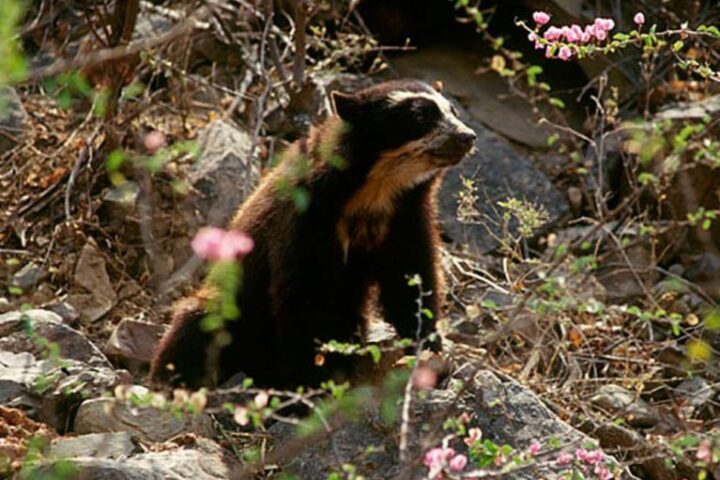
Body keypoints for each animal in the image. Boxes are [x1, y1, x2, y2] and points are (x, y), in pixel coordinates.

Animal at [150, 80, 478, 388]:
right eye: (420, 114)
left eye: (453, 111)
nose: (468, 136)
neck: (374, 191)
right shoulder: (307, 218)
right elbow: (305, 294)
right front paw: (313, 379)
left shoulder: (405, 217)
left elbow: (412, 279)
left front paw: (430, 353)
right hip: (230, 307)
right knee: (194, 326)